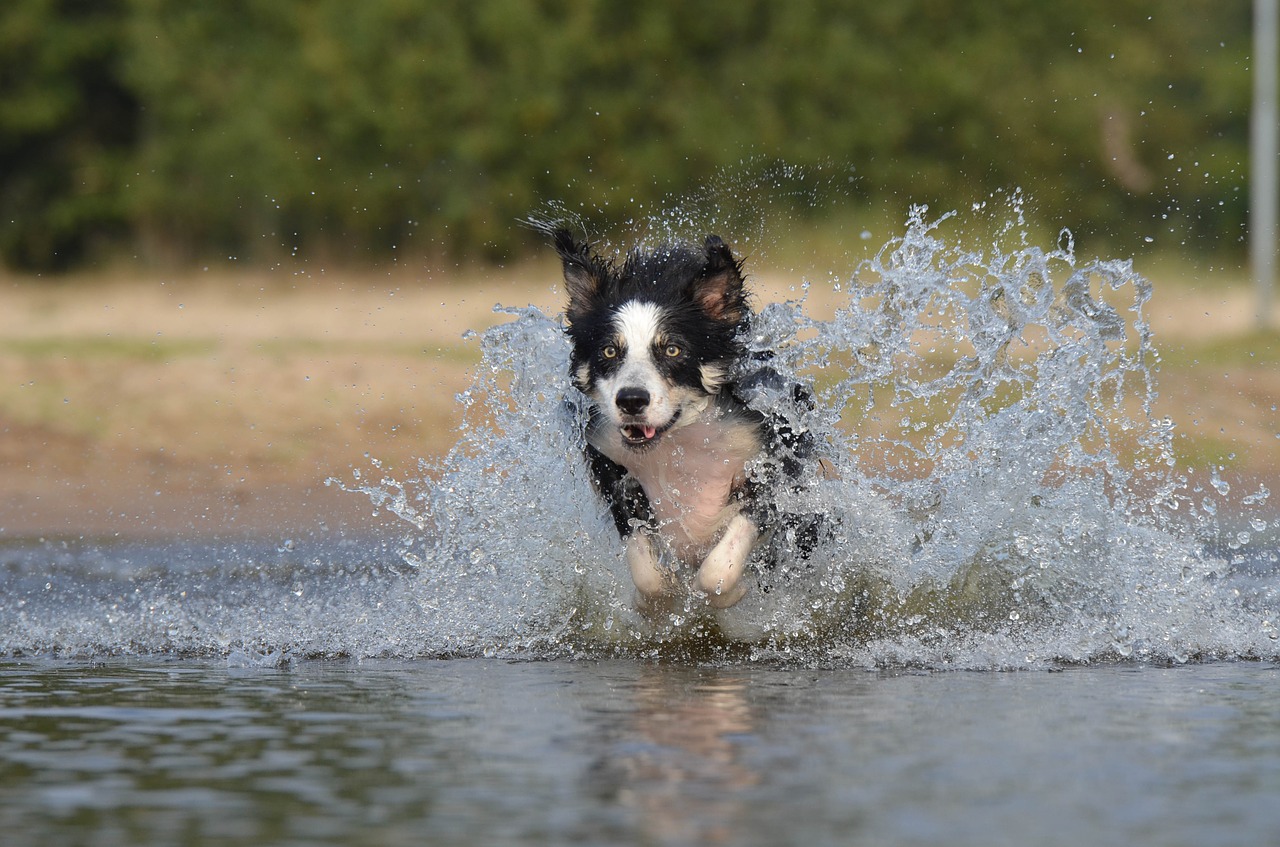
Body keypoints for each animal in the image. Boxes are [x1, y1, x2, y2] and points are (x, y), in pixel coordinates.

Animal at [550, 229, 819, 606]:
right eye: (609, 350)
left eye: (673, 349)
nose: (631, 400)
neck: (679, 439)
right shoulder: (610, 464)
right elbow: (645, 566)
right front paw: (662, 597)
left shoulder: (775, 465)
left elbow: (718, 567)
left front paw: (726, 595)